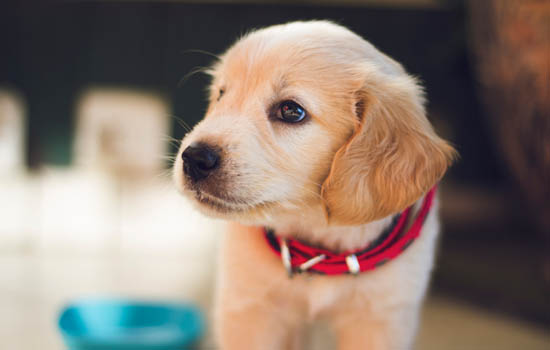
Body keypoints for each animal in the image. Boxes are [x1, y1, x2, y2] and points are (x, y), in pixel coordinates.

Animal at [175, 20, 460, 348]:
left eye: (291, 110)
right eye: (221, 94)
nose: (194, 158)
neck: (318, 245)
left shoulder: (381, 319)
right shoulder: (249, 308)